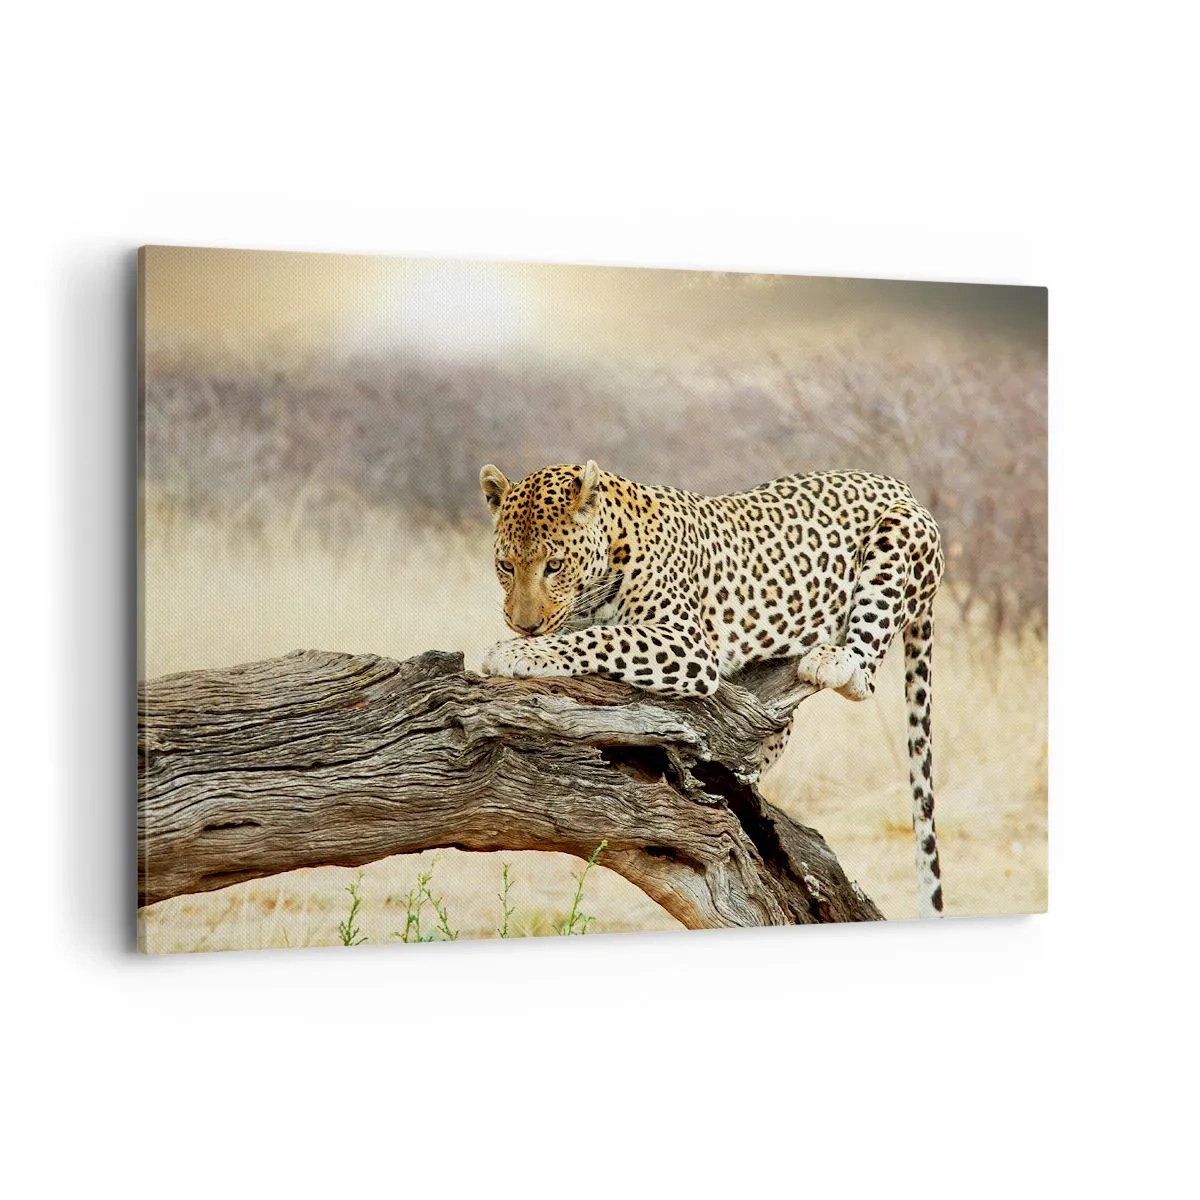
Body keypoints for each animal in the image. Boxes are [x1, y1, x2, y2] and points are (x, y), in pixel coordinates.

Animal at [479, 460, 946, 918]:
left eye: (554, 566)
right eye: (505, 566)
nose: (523, 625)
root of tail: (900, 485)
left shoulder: (686, 642)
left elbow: (602, 638)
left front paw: (516, 652)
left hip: (899, 535)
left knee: (863, 674)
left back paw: (833, 660)